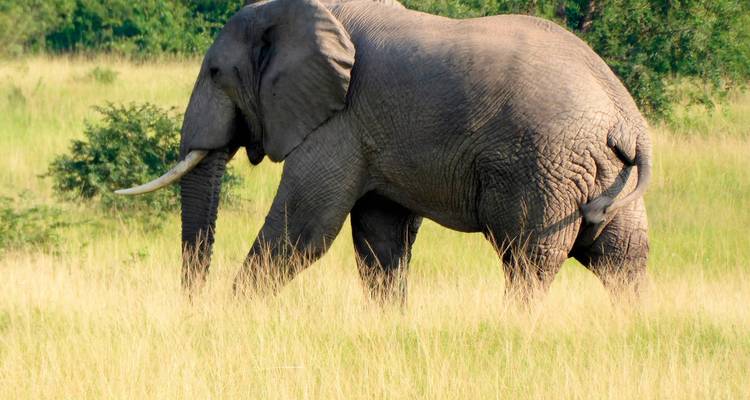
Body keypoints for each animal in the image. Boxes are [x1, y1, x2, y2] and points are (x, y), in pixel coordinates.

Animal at [118, 0, 652, 304]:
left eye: (214, 72)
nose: (192, 312)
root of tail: (626, 118)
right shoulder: (370, 131)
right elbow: (380, 239)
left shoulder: (341, 119)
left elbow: (304, 228)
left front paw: (230, 320)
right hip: (601, 173)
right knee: (623, 260)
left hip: (544, 166)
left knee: (528, 262)